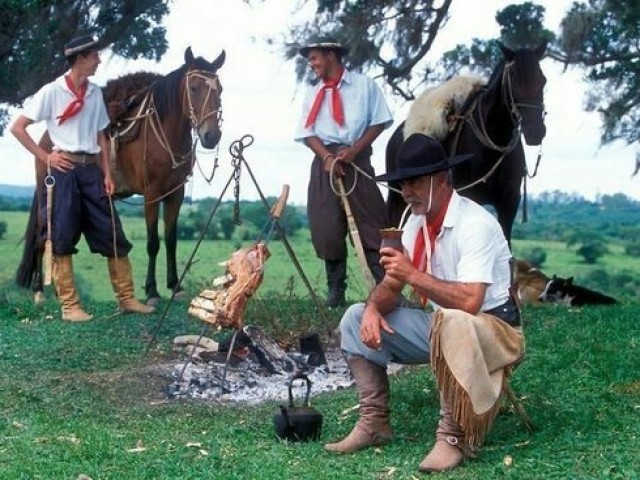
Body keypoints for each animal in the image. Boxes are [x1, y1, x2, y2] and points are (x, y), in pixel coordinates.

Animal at [16, 47, 225, 304]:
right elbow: (153, 242)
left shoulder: (176, 193)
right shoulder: (151, 194)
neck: (164, 133)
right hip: (49, 194)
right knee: (40, 237)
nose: (211, 136)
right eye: (194, 87)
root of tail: (45, 141)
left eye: (220, 89)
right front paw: (152, 291)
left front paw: (175, 287)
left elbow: (171, 239)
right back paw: (38, 291)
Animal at [384, 41, 544, 244]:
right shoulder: (470, 196)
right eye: (514, 79)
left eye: (543, 80)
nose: (536, 131)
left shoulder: (509, 204)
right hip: (397, 197)